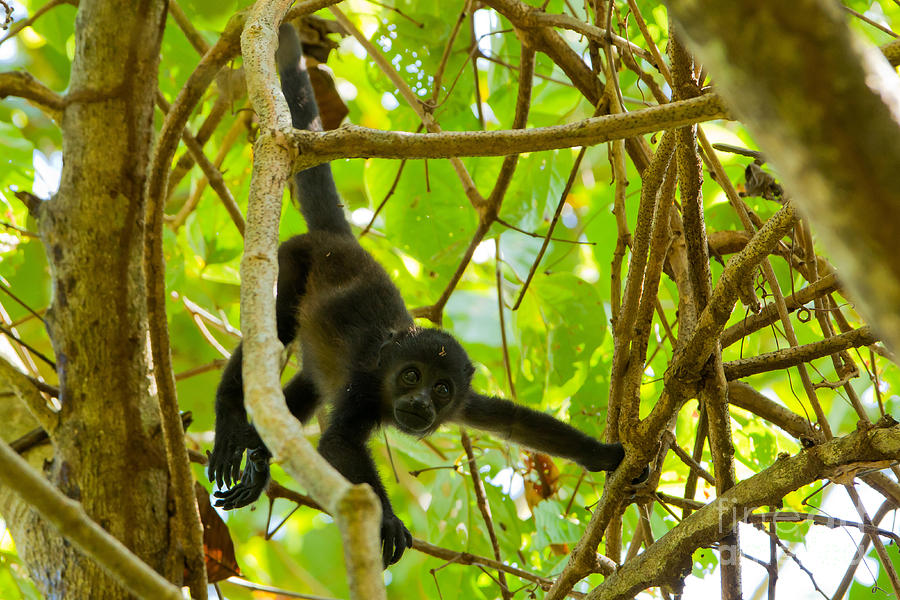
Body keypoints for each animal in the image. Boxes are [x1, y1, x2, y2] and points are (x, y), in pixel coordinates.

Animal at [209, 22, 648, 568]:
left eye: (440, 388)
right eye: (410, 376)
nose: (420, 402)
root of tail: (337, 240)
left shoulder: (464, 403)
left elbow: (516, 423)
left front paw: (608, 457)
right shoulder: (363, 388)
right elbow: (339, 443)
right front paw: (389, 521)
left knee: (305, 387)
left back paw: (259, 457)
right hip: (291, 257)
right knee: (275, 331)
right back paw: (231, 423)